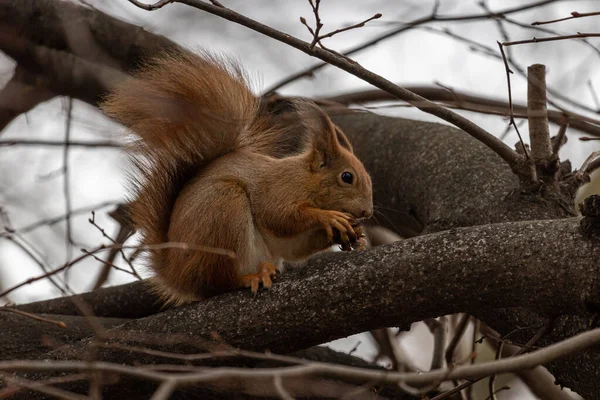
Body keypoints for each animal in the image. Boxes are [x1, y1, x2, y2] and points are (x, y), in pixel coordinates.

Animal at [101, 50, 372, 306]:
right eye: (347, 177)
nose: (367, 213)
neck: (305, 178)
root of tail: (176, 276)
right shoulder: (278, 189)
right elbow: (280, 217)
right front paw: (329, 217)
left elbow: (295, 248)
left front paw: (353, 236)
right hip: (224, 209)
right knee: (218, 282)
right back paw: (251, 277)